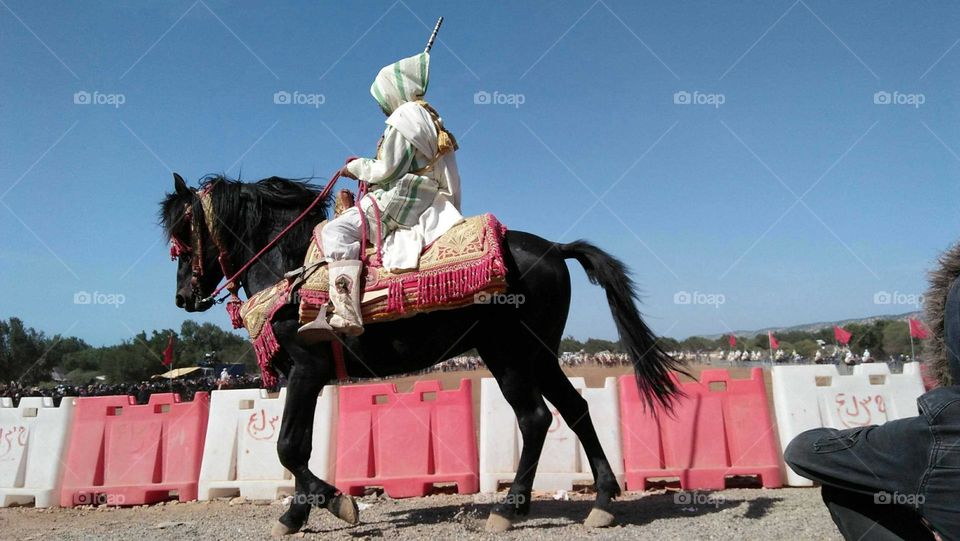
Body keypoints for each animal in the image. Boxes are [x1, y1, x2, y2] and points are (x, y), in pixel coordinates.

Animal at [159, 172, 684, 532]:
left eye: (183, 229)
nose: (183, 296)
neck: (290, 270)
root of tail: (555, 248)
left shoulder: (306, 369)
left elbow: (289, 447)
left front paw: (331, 504)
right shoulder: (304, 376)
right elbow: (298, 447)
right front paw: (301, 511)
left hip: (509, 356)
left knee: (535, 418)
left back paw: (510, 508)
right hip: (539, 355)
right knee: (574, 409)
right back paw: (602, 500)